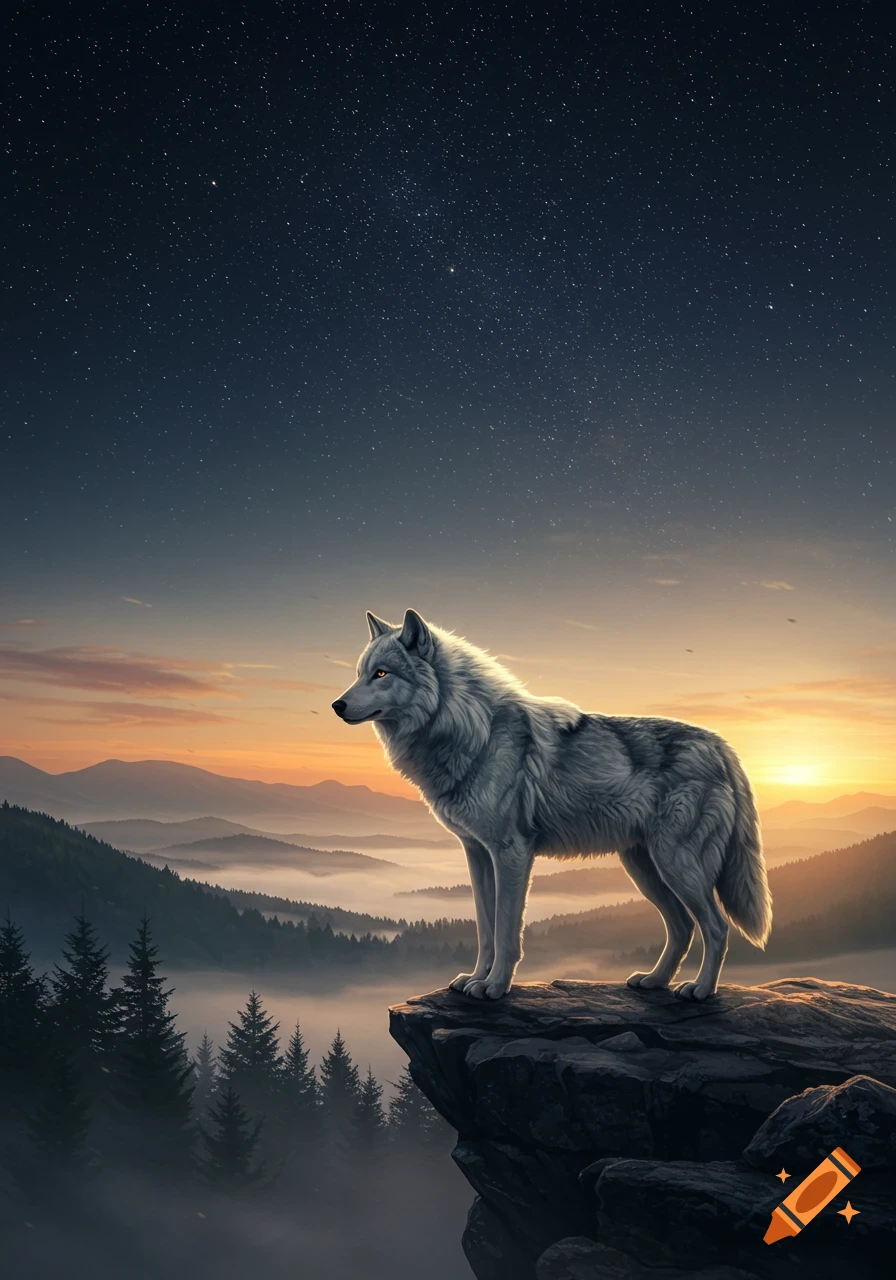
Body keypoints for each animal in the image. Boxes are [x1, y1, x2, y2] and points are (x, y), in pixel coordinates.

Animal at [332, 609, 772, 1001]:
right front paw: (474, 979)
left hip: (676, 865)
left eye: (381, 674)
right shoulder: (477, 853)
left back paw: (701, 990)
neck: (472, 730)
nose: (337, 705)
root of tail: (722, 745)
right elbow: (485, 930)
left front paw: (495, 987)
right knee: (681, 927)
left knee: (716, 927)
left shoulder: (512, 853)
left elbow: (507, 931)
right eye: (359, 672)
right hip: (644, 868)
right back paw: (655, 981)